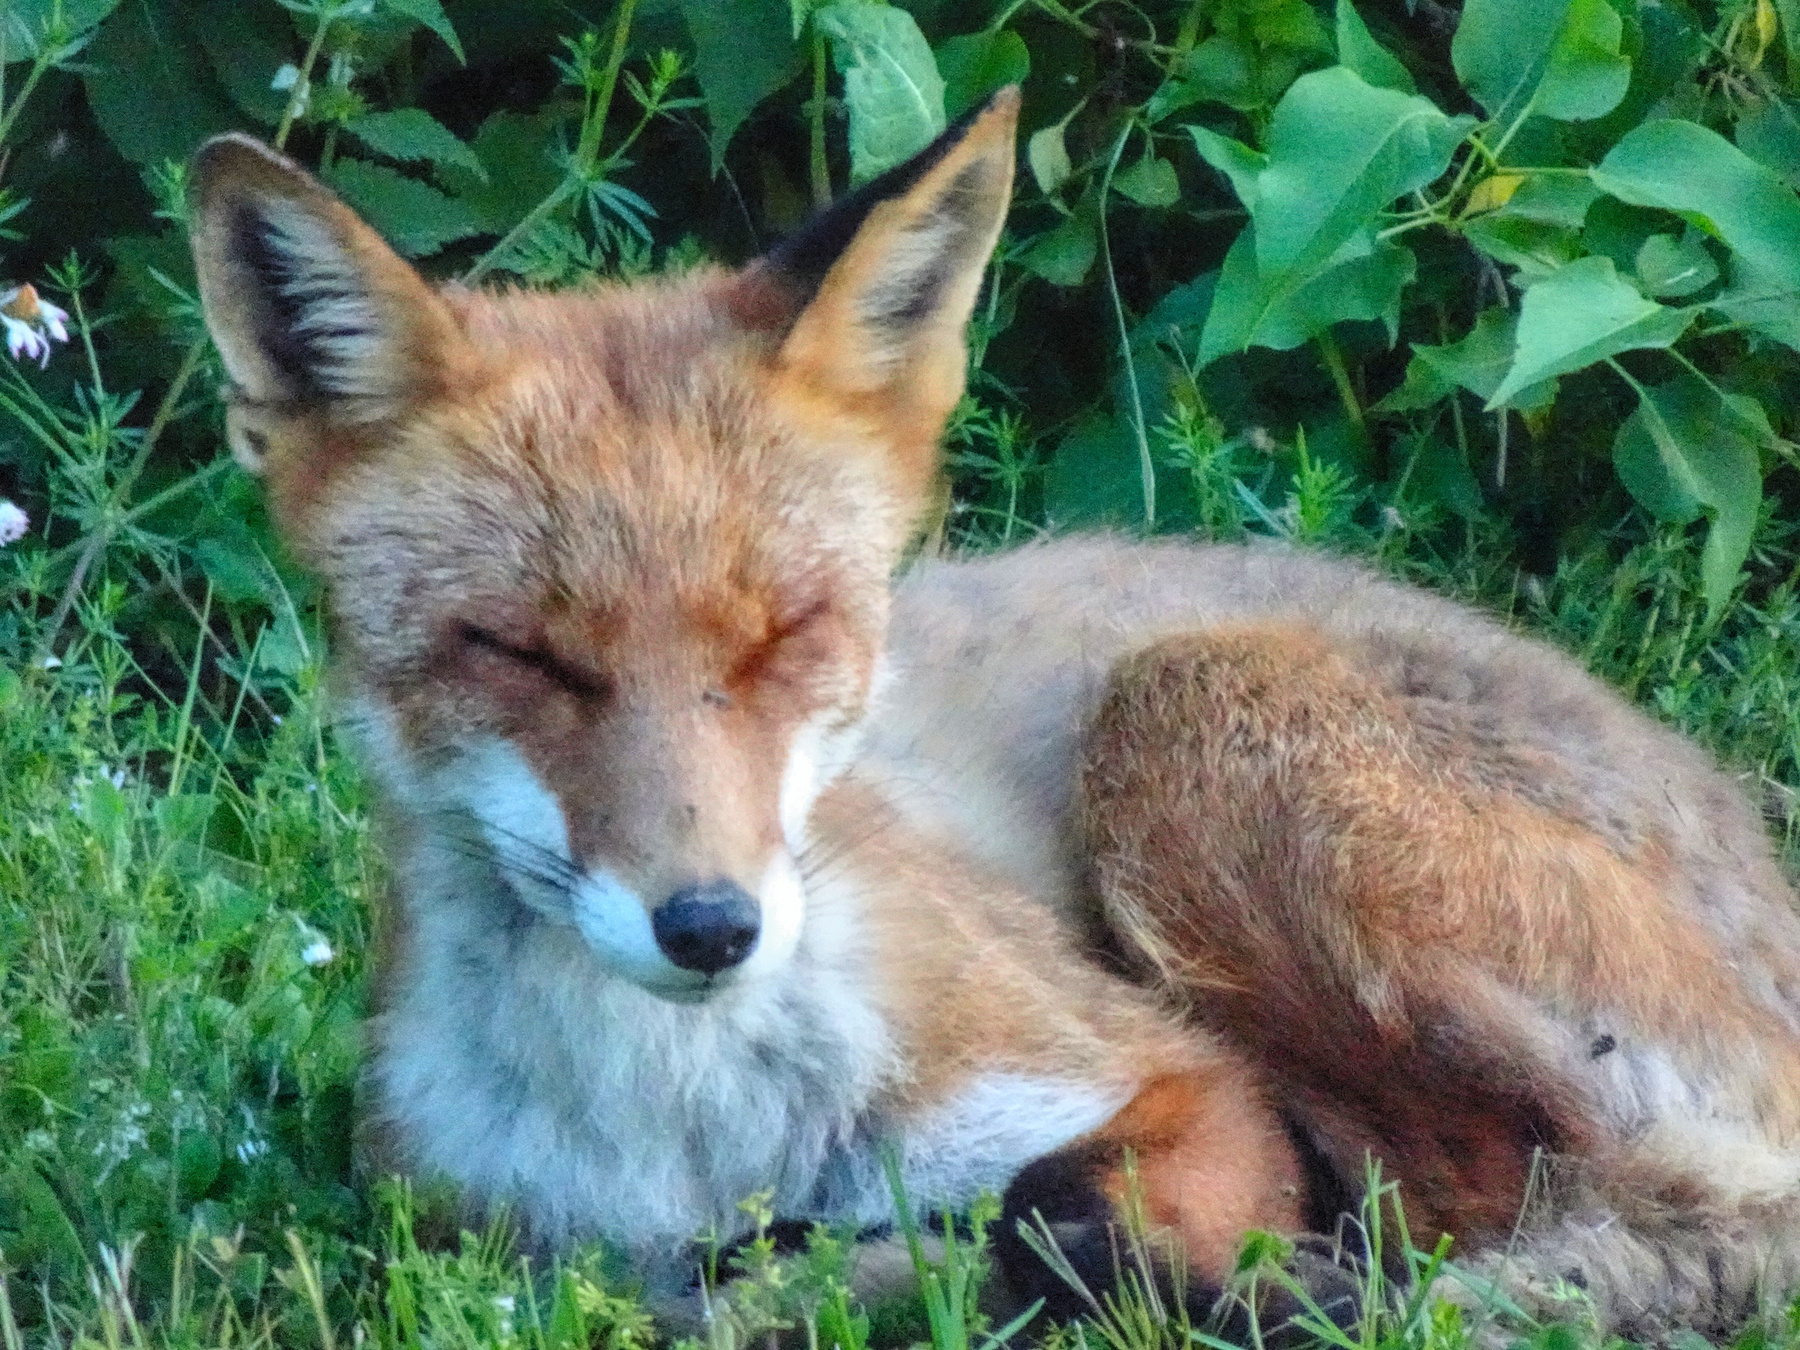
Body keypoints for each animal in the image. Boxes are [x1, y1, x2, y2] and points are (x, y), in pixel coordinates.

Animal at [187, 88, 1800, 1339]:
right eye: (523, 655)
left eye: (790, 633)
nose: (709, 926)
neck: (695, 1140)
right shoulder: (470, 1227)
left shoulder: (1185, 1085)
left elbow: (1031, 1208)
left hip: (1185, 719)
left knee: (1579, 1209)